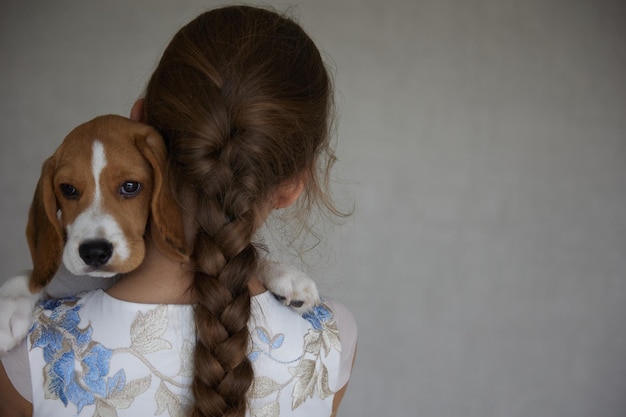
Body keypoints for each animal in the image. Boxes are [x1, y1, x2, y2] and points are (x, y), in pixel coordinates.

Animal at [0, 114, 316, 354]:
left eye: (130, 186)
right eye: (67, 189)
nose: (94, 252)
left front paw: (287, 275)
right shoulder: (66, 282)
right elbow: (32, 277)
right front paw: (8, 306)